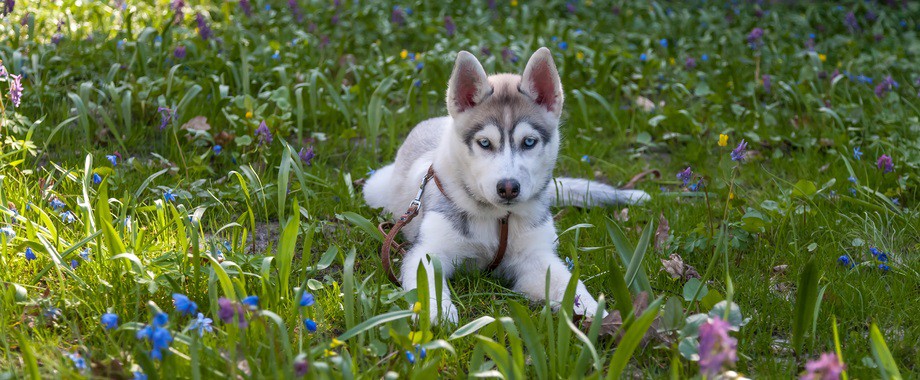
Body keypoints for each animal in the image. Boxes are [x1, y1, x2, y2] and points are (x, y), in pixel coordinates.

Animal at [362, 46, 652, 322]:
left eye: (529, 142)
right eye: (485, 143)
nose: (509, 187)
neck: (497, 217)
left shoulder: (536, 257)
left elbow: (571, 285)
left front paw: (598, 314)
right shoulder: (426, 252)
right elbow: (427, 285)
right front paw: (434, 314)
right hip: (375, 188)